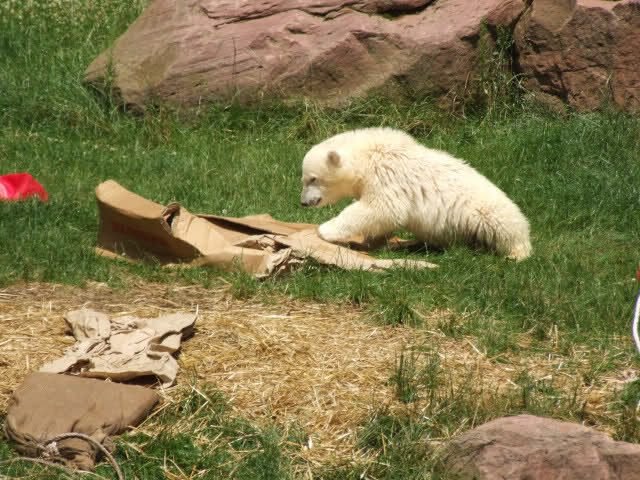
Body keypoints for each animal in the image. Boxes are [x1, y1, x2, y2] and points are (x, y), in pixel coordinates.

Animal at [300, 127, 532, 261]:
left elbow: (381, 208)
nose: (303, 202)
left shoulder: (387, 175)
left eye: (313, 178)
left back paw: (515, 254)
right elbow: (382, 219)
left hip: (485, 212)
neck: (368, 155)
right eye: (304, 178)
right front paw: (371, 242)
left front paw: (325, 230)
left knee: (503, 229)